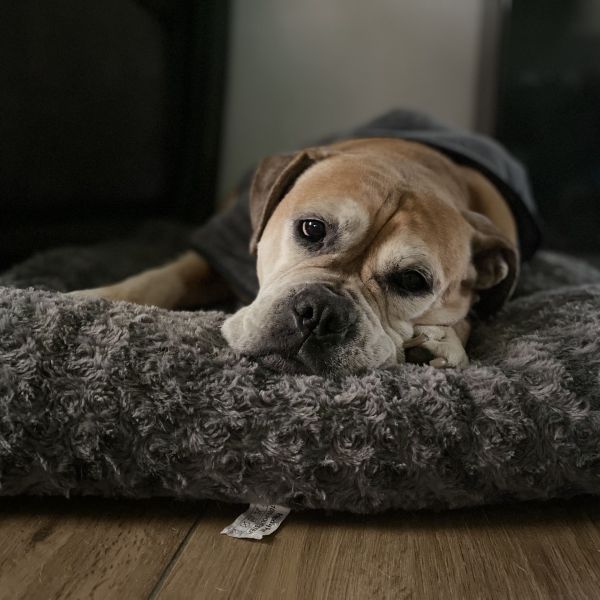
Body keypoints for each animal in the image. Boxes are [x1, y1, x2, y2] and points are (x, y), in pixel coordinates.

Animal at [72, 110, 540, 372]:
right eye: (312, 229)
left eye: (412, 281)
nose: (320, 313)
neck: (416, 164)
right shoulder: (217, 251)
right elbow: (162, 278)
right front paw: (89, 299)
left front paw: (443, 343)